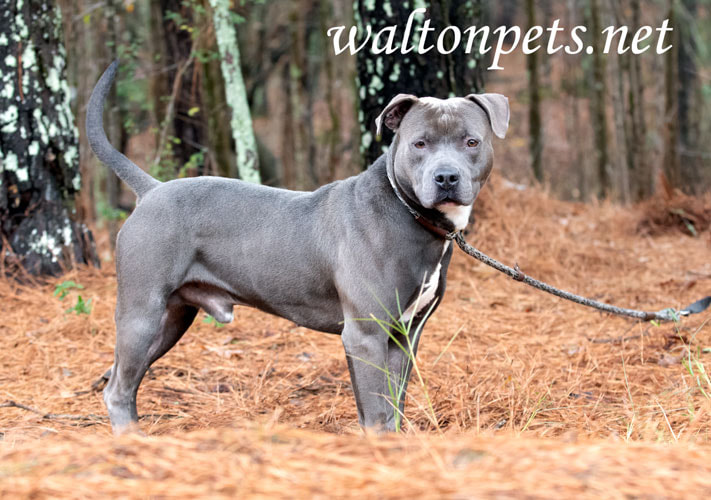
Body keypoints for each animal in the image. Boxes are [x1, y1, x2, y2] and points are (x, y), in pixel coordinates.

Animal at [87, 59, 506, 434]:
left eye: (471, 141)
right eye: (420, 144)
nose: (446, 177)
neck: (409, 214)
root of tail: (152, 189)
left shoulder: (404, 337)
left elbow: (393, 407)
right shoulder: (365, 334)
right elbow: (376, 413)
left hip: (171, 319)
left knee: (126, 380)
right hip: (142, 312)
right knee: (118, 389)